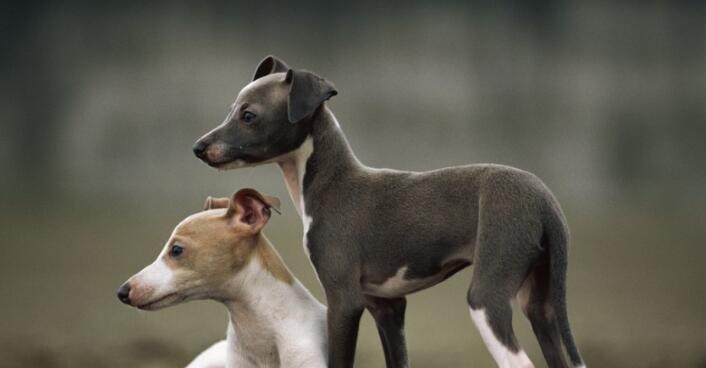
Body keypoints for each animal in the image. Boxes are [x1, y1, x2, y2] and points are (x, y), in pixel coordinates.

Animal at [192, 55, 584, 368]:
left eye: (249, 116)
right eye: (231, 110)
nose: (198, 147)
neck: (332, 185)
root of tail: (545, 200)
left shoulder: (344, 301)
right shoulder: (387, 308)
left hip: (487, 297)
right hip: (541, 304)